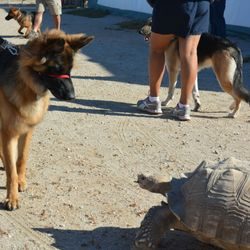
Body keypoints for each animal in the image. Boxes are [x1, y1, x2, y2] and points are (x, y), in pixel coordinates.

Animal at [0, 29, 94, 210]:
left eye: (70, 69)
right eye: (56, 68)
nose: (72, 97)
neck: (25, 81)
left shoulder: (27, 129)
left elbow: (22, 158)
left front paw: (21, 180)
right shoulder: (9, 132)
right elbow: (11, 171)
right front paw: (12, 197)